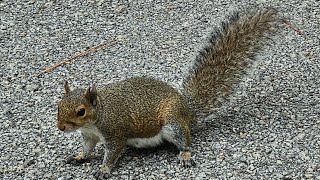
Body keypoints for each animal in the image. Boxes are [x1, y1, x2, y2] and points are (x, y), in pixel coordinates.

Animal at [56, 8, 278, 177]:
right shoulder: (89, 135)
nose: (61, 127)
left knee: (186, 141)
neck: (98, 115)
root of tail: (187, 112)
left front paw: (104, 169)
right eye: (59, 106)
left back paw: (185, 155)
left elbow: (112, 153)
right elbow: (87, 149)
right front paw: (80, 156)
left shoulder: (114, 133)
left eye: (81, 111)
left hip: (172, 123)